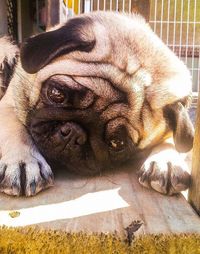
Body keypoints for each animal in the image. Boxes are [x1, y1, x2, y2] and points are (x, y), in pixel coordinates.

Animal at [0, 11, 194, 196]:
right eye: (56, 93)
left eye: (117, 144)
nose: (73, 133)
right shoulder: (7, 106)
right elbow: (16, 130)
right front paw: (24, 161)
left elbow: (174, 141)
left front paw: (167, 162)